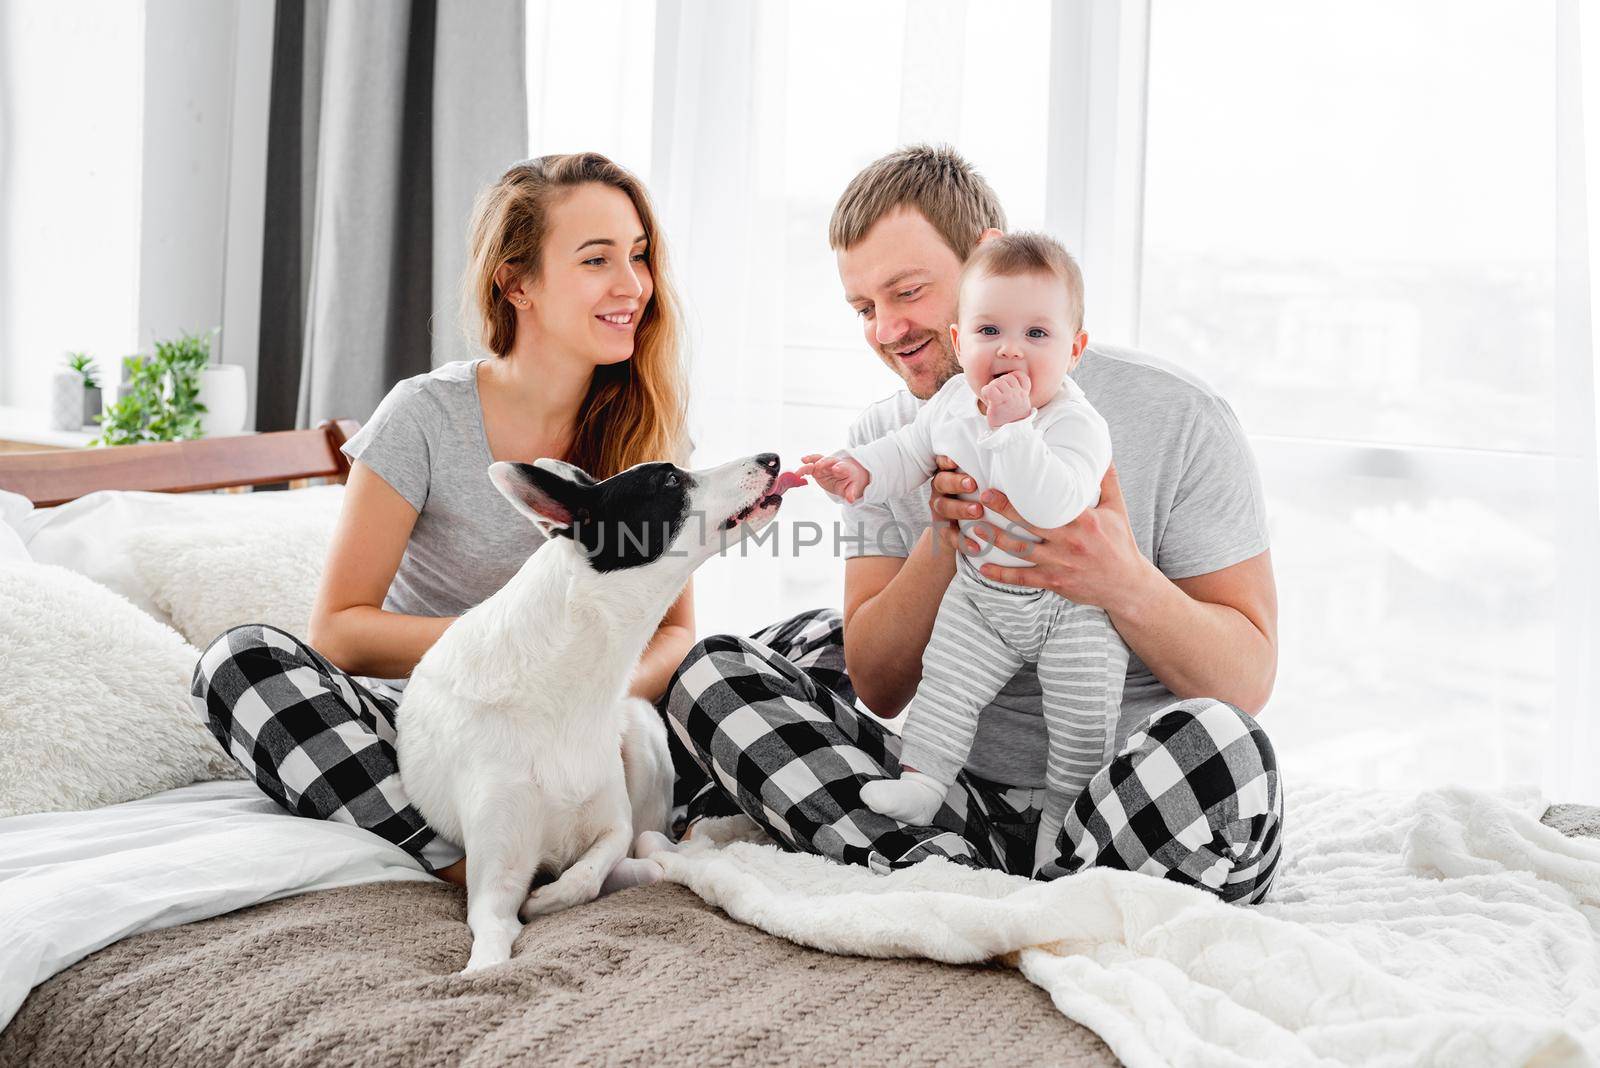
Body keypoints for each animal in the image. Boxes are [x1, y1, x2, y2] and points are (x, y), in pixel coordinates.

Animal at [395, 450, 806, 978]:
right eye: (670, 481)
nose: (771, 458)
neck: (561, 688)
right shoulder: (492, 889)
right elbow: (492, 948)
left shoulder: (612, 823)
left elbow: (591, 869)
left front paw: (551, 894)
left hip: (642, 737)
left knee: (652, 842)